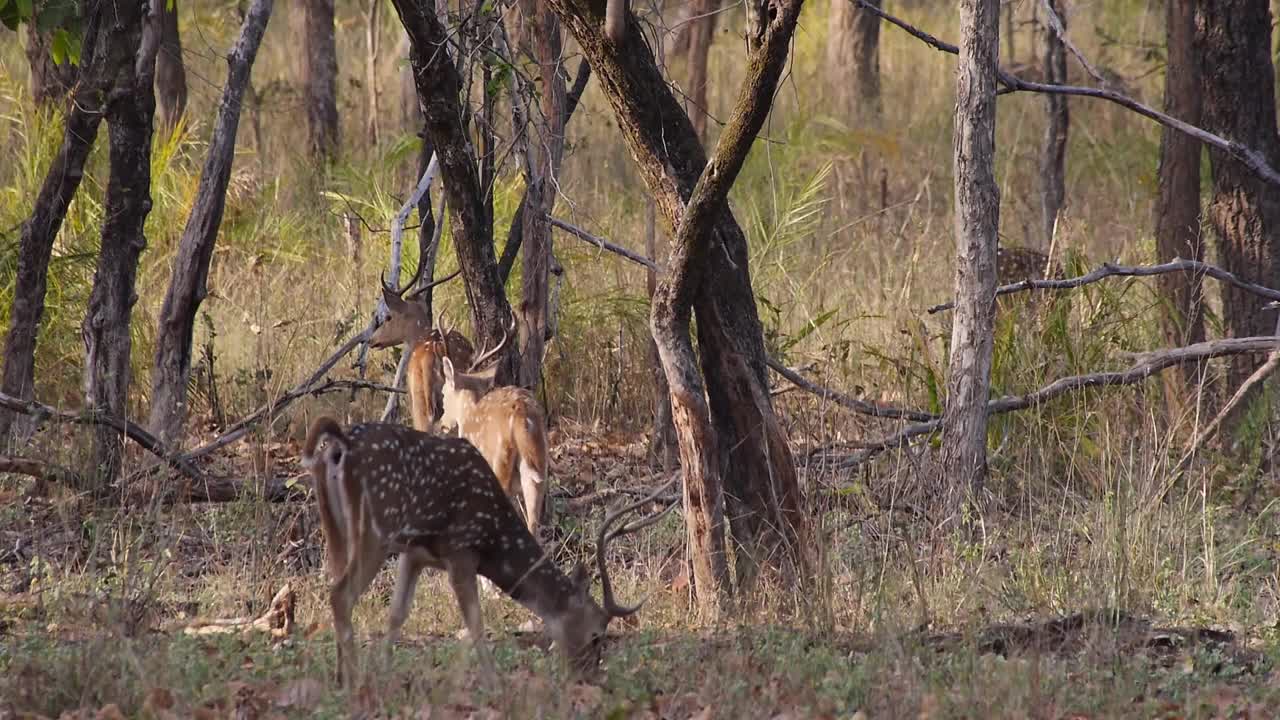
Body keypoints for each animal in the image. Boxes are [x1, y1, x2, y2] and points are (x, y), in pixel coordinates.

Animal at [302, 412, 670, 681]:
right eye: (596, 634)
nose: (589, 676)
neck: (494, 540)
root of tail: (338, 446)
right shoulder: (461, 550)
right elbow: (476, 623)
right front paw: (494, 681)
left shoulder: (415, 553)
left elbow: (397, 615)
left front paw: (383, 672)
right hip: (376, 527)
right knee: (341, 594)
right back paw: (351, 680)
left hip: (335, 528)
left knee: (337, 589)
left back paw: (341, 676)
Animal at [437, 330, 547, 532]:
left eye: (443, 393)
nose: (442, 423)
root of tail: (521, 414)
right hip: (538, 469)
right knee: (533, 523)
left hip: (500, 462)